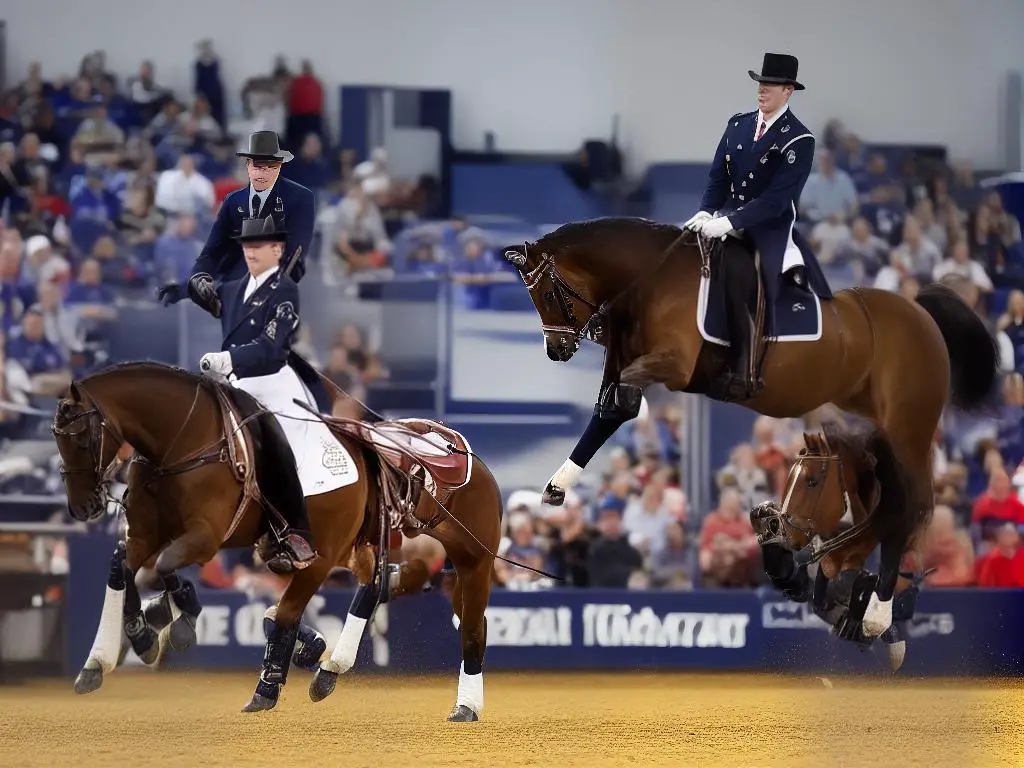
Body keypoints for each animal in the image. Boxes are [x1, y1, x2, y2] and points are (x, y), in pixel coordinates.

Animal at [503, 218, 999, 643]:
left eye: (546, 293)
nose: (557, 349)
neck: (652, 280)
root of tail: (919, 312)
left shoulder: (673, 364)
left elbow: (618, 405)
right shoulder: (623, 360)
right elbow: (608, 410)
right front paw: (558, 485)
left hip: (906, 427)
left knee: (908, 502)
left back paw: (873, 608)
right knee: (883, 495)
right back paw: (834, 567)